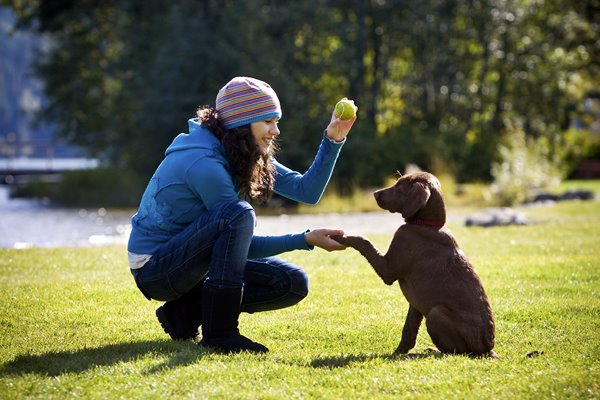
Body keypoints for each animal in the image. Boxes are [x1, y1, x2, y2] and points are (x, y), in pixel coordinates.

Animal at [332, 171, 496, 356]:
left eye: (399, 187)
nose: (374, 193)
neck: (428, 225)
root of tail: (487, 349)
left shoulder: (388, 269)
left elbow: (364, 241)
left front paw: (341, 236)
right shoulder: (415, 303)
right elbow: (409, 329)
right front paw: (399, 352)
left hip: (435, 313)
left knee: (456, 352)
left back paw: (435, 351)